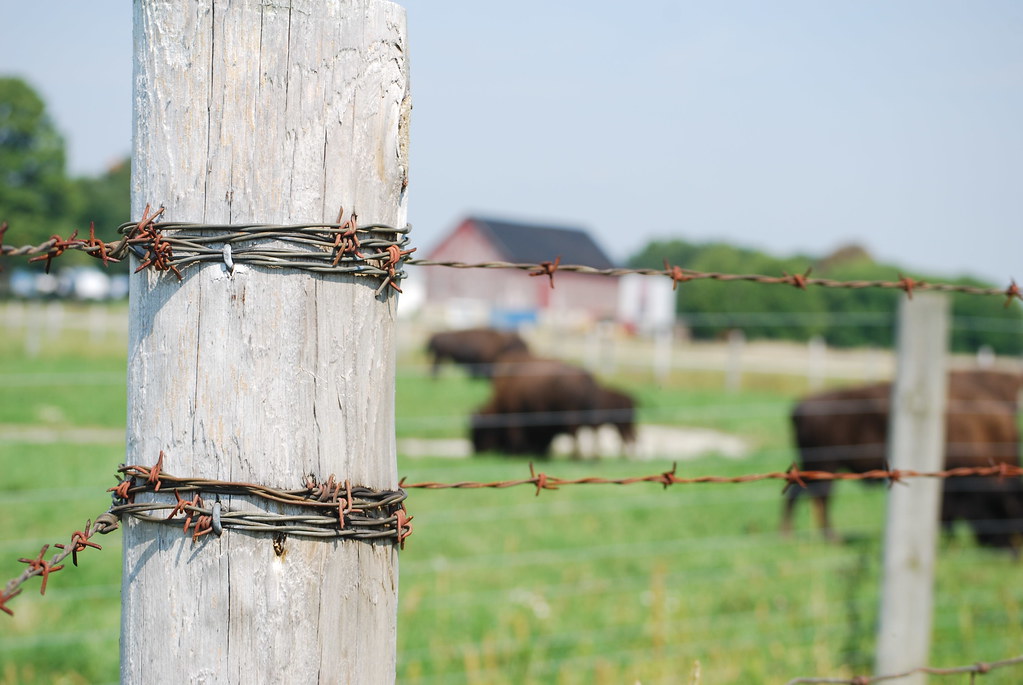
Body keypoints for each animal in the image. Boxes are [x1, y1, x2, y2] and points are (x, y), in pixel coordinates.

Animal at [782, 370, 1023, 550]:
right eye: (1008, 510)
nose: (1013, 552)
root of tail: (801, 405)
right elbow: (944, 515)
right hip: (824, 464)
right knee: (821, 498)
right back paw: (828, 538)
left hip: (814, 466)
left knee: (802, 495)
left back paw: (795, 535)